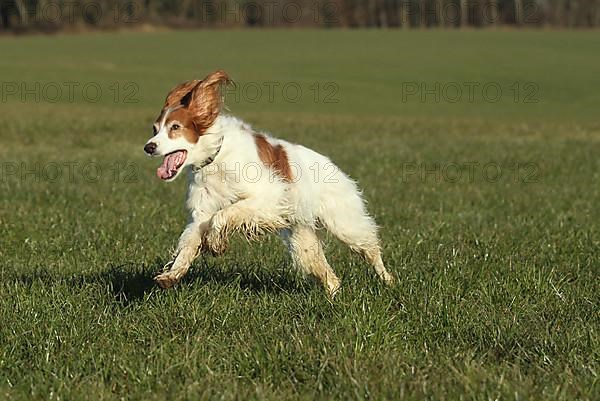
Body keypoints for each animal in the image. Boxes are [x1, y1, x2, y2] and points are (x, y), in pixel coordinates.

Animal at [142, 70, 394, 296]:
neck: (217, 157)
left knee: (372, 250)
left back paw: (388, 281)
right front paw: (171, 275)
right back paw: (333, 295)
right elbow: (189, 244)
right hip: (302, 240)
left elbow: (223, 216)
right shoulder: (201, 214)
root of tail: (334, 167)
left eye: (175, 127)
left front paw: (215, 243)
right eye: (154, 129)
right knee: (328, 274)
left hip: (345, 224)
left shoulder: (267, 198)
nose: (149, 147)